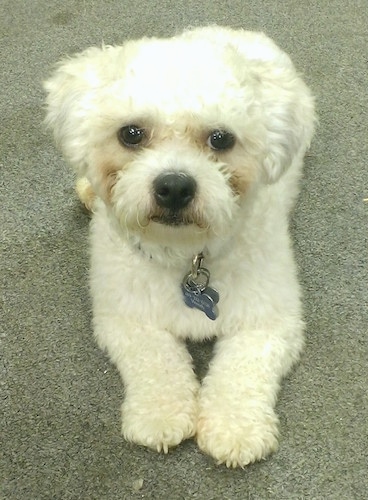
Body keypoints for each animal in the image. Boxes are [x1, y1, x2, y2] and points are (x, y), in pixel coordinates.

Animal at [44, 25, 314, 466]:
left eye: (221, 139)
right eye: (131, 133)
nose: (173, 186)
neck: (187, 254)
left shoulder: (269, 320)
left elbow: (243, 370)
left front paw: (235, 428)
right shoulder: (126, 317)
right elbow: (155, 360)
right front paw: (160, 416)